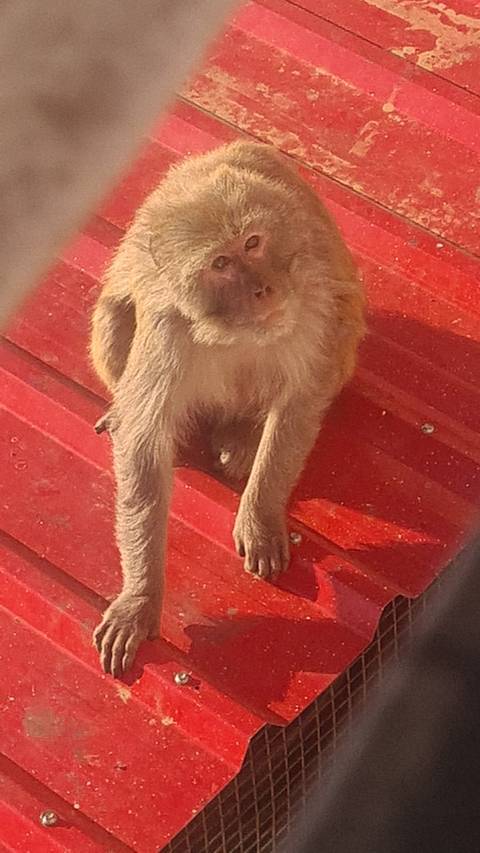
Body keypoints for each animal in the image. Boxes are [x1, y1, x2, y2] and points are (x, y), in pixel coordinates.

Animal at [90, 139, 365, 677]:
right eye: (220, 263)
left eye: (254, 242)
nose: (263, 288)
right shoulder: (167, 327)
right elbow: (144, 444)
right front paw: (139, 600)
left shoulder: (313, 297)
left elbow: (301, 398)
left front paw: (259, 515)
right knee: (113, 316)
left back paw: (241, 436)